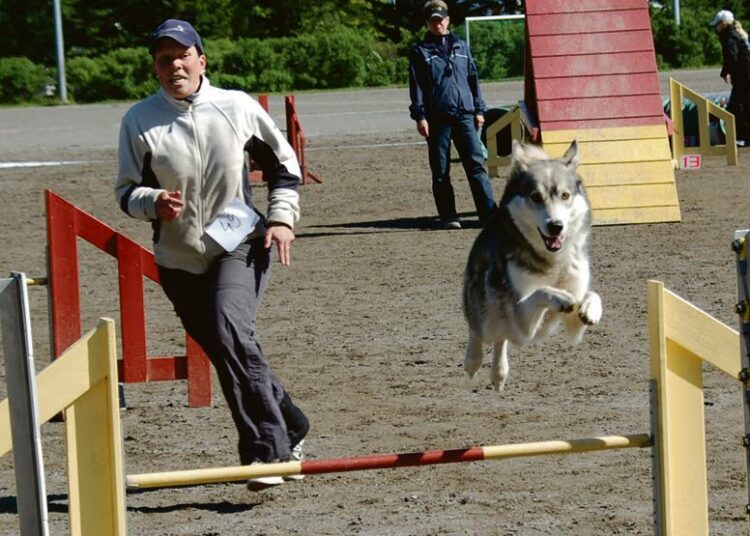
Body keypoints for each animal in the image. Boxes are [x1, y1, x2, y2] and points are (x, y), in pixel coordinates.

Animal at [464, 138, 604, 390]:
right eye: (536, 197)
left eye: (565, 195)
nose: (555, 226)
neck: (553, 262)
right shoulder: (523, 320)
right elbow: (541, 291)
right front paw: (559, 297)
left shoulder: (573, 324)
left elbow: (591, 295)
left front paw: (591, 309)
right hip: (489, 316)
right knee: (479, 330)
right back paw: (473, 361)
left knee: (501, 339)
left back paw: (499, 373)